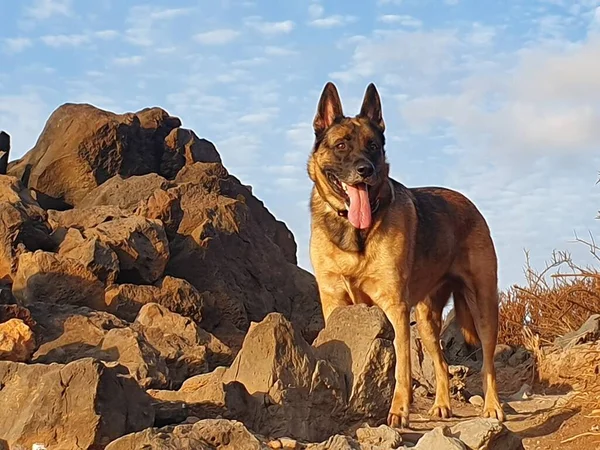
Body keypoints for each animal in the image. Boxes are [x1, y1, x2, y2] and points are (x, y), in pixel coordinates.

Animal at [308, 81, 504, 428]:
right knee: (441, 363)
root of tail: (468, 202)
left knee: (488, 364)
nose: (366, 170)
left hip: (482, 307)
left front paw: (399, 410)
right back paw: (442, 405)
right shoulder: (334, 303)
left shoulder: (395, 308)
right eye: (342, 145)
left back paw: (493, 408)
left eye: (373, 145)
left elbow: (402, 365)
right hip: (426, 321)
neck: (353, 230)